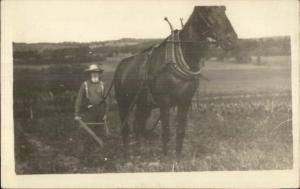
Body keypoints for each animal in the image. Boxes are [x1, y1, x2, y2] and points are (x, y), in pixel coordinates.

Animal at [113, 5, 238, 159]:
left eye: (224, 9)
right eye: (207, 10)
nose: (231, 40)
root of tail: (121, 65)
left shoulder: (185, 101)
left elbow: (180, 131)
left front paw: (177, 159)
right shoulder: (165, 102)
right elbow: (166, 133)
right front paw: (166, 159)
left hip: (144, 104)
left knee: (138, 125)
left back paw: (140, 151)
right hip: (124, 103)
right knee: (126, 128)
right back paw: (127, 154)